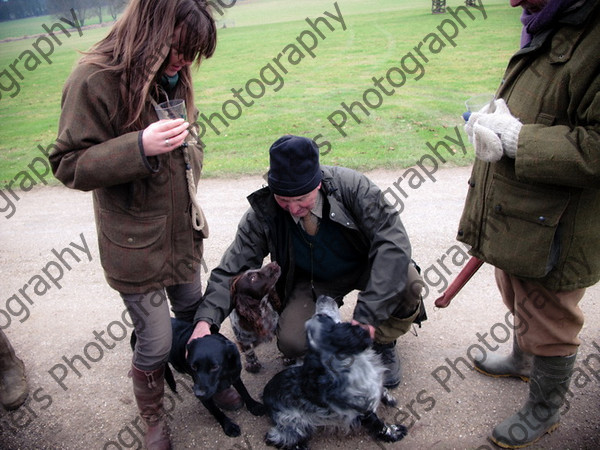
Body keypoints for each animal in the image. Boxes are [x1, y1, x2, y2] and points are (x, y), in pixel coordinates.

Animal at [131, 318, 264, 438]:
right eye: (193, 366)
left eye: (214, 367)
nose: (198, 393)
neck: (223, 375)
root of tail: (135, 331)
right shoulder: (204, 395)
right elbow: (216, 411)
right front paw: (229, 426)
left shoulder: (234, 375)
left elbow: (243, 391)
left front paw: (253, 406)